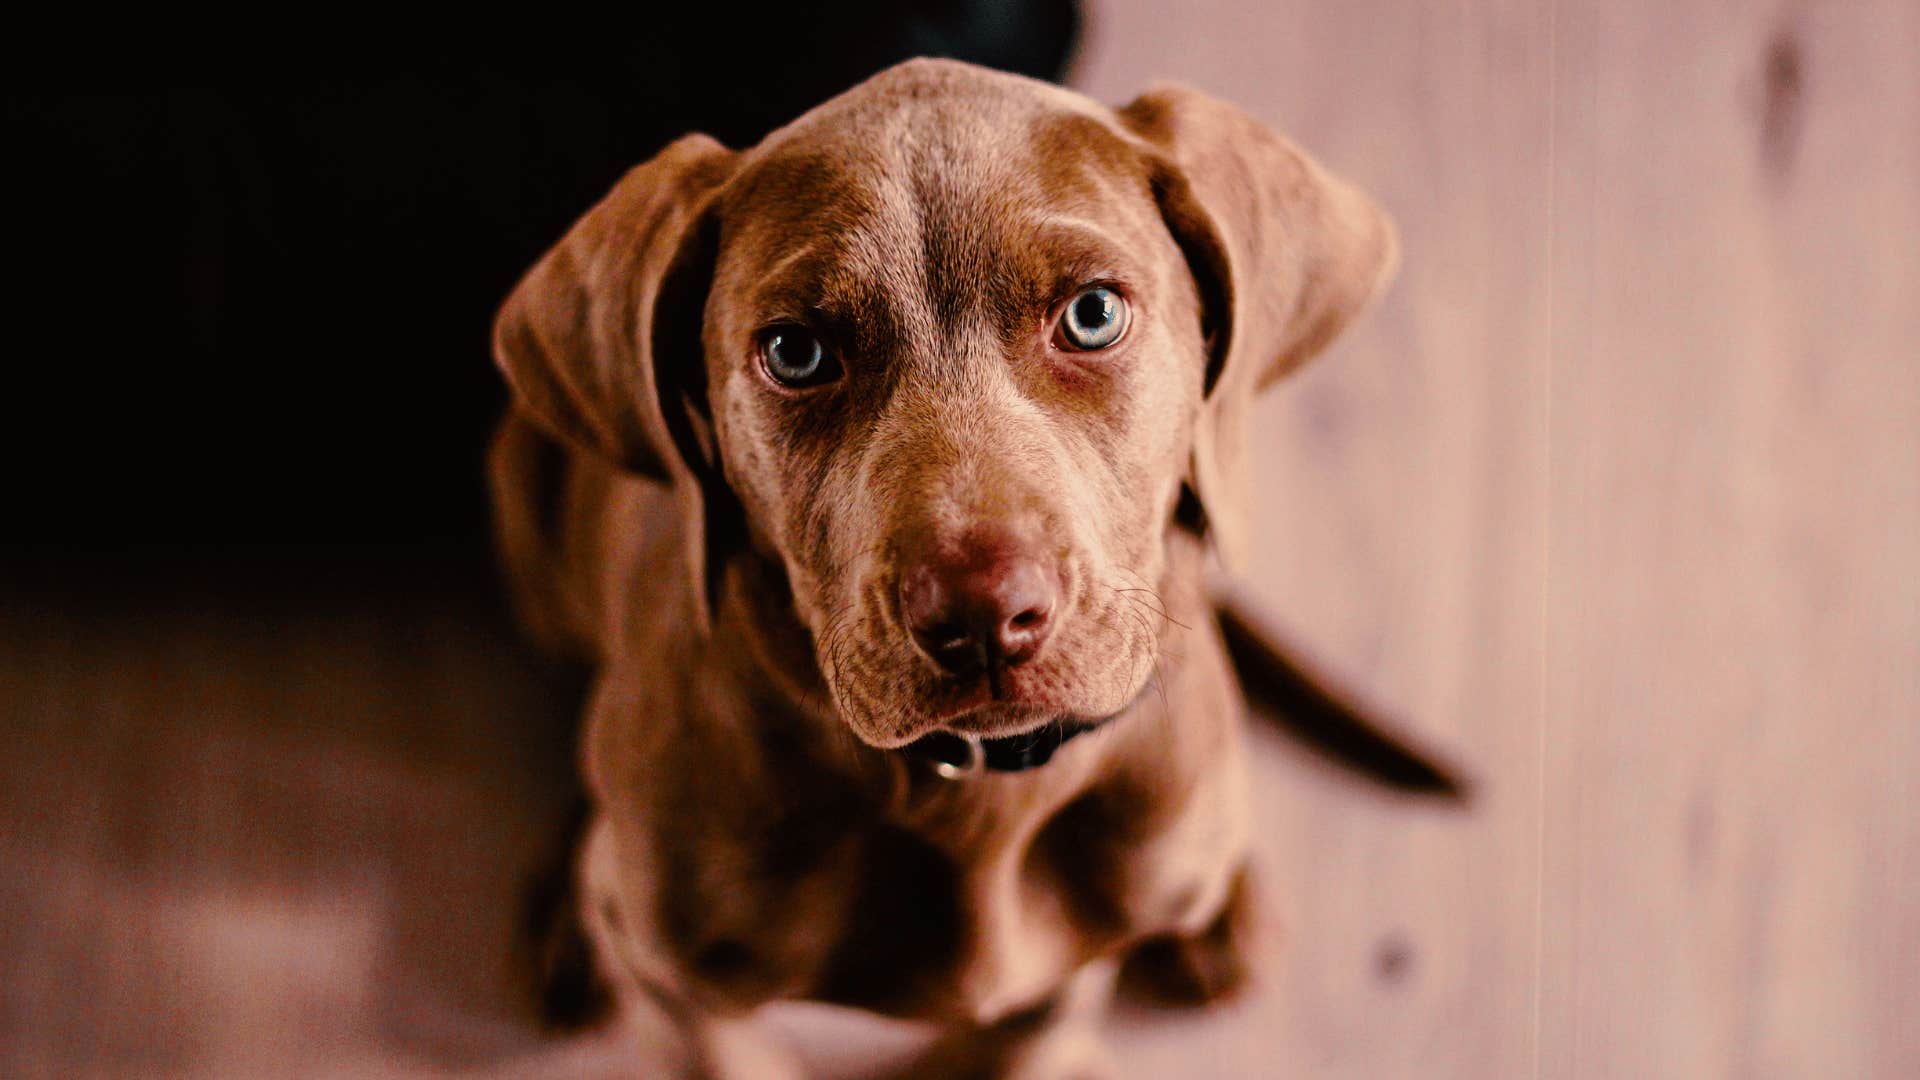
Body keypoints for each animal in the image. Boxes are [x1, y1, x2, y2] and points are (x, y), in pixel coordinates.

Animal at [495, 61, 1397, 1076]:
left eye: (1093, 314)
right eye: (794, 352)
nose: (981, 618)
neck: (973, 797)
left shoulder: (1067, 974)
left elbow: (1026, 1037)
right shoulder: (683, 993)